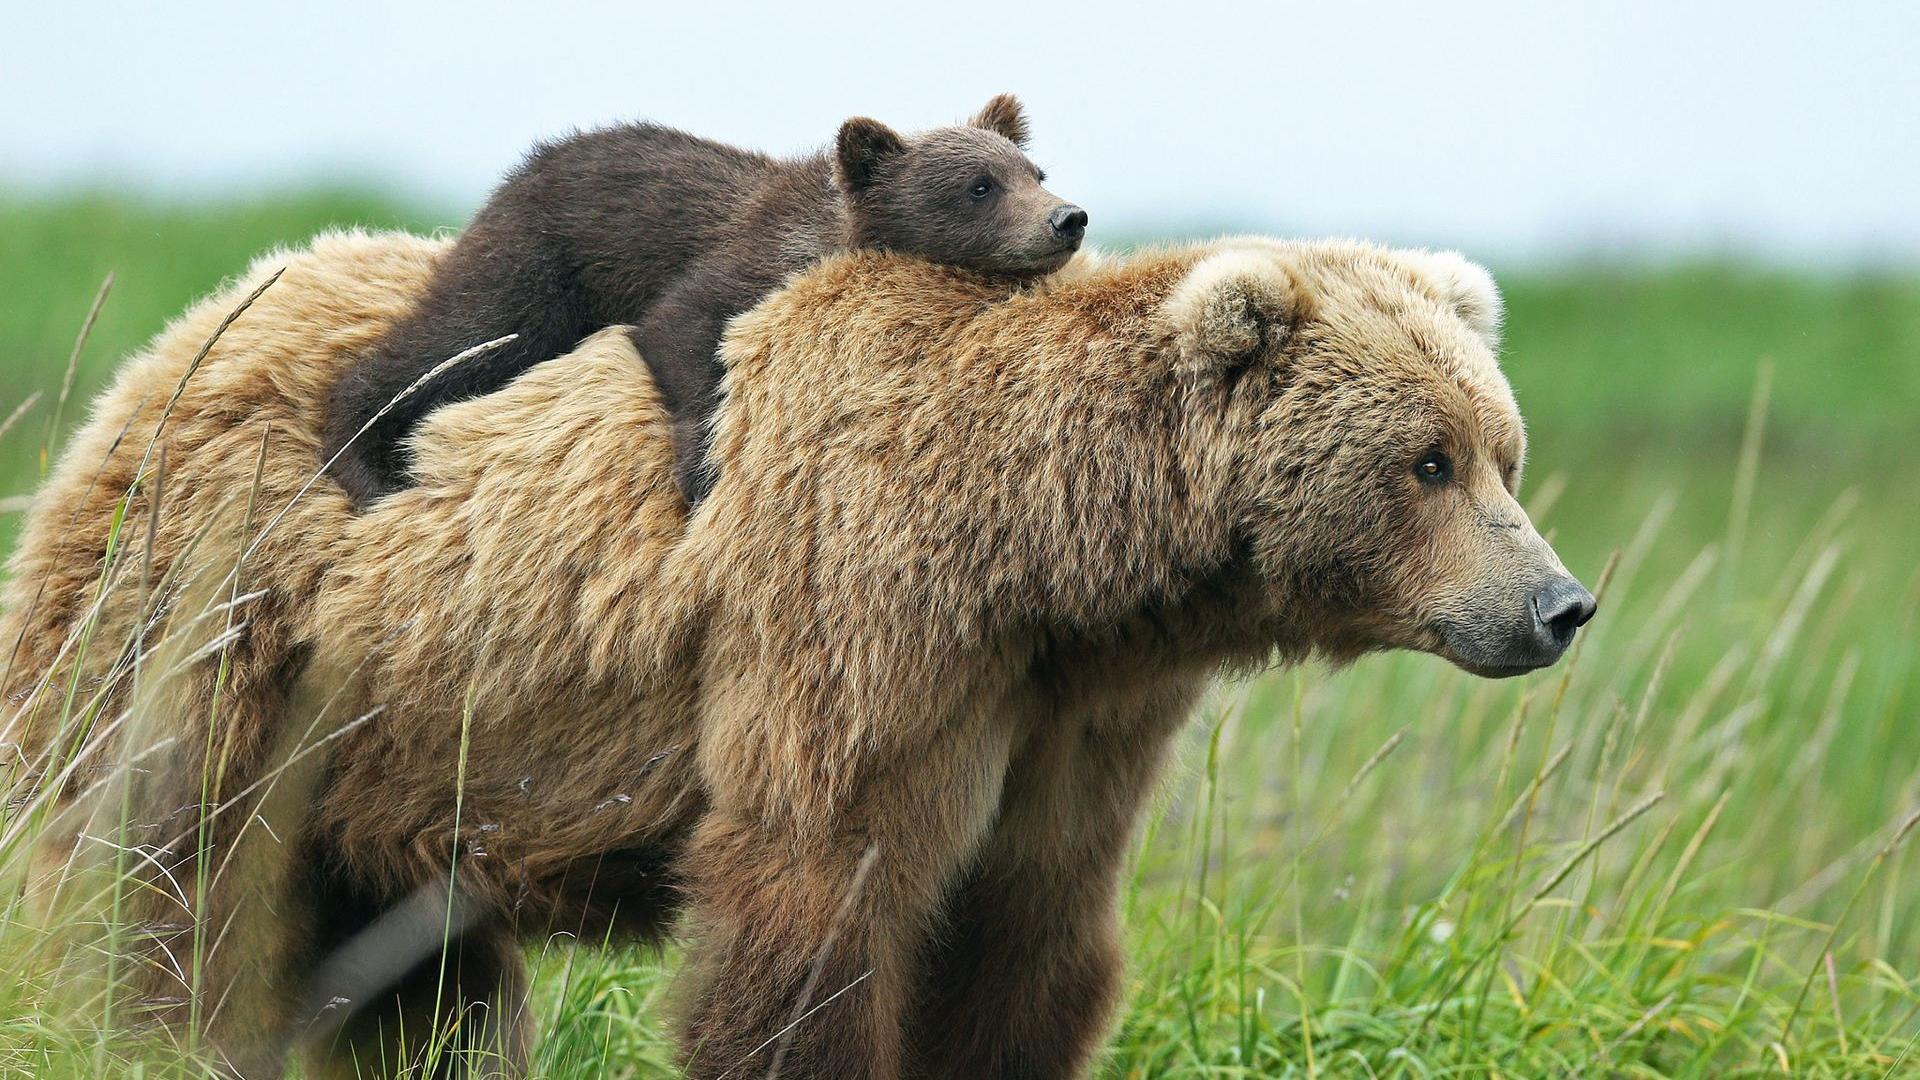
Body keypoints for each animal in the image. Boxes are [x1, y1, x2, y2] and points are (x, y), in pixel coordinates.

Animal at [0, 224, 1589, 1068]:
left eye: (1504, 450)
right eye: (1428, 462)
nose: (1557, 605)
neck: (1044, 560)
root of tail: (178, 337)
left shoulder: (1070, 718)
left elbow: (1028, 937)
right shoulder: (860, 629)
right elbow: (815, 912)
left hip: (390, 761)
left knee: (414, 986)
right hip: (219, 633)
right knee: (157, 891)